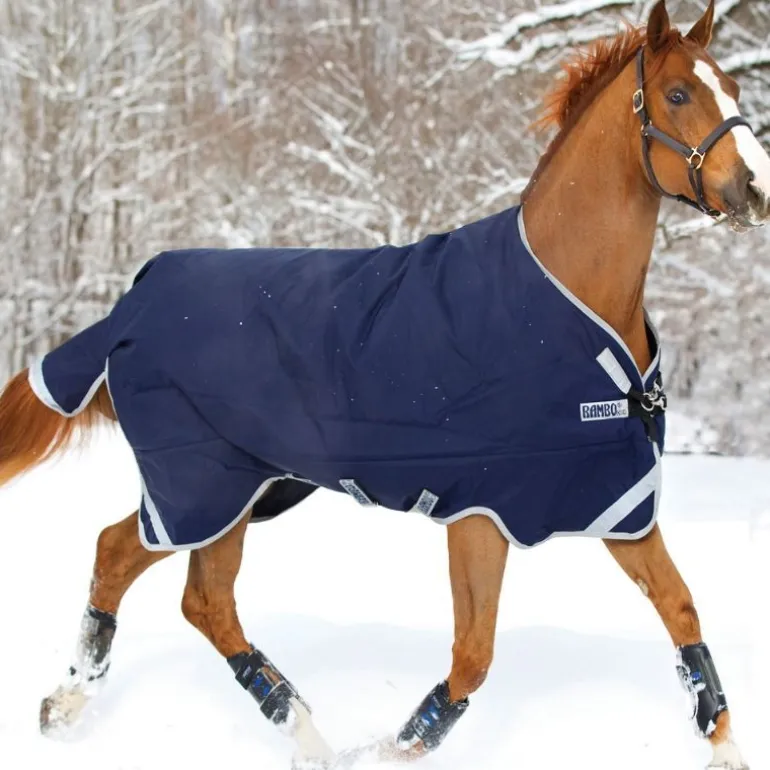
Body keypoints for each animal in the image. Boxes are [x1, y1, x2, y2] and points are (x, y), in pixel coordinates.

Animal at [1, 1, 768, 768]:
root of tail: (132, 304)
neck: (568, 300)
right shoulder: (480, 511)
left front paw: (725, 745)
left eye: (733, 85)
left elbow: (680, 609)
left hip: (242, 489)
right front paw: (385, 750)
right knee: (163, 577)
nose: (756, 189)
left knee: (164, 577)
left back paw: (99, 707)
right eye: (678, 94)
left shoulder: (615, 502)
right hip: (202, 485)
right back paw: (285, 727)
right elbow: (472, 657)